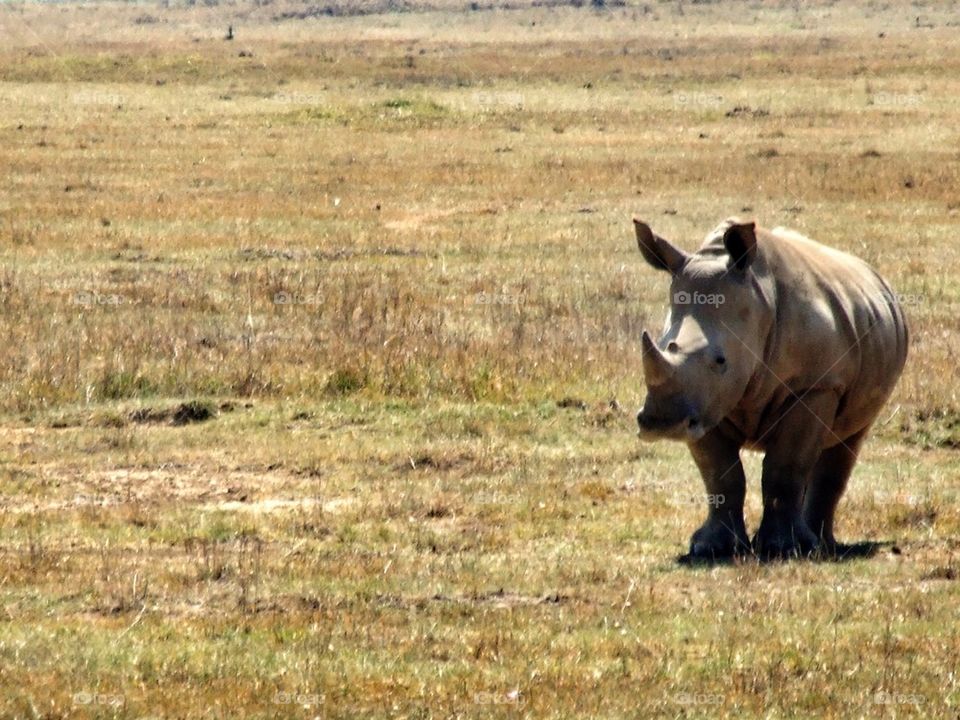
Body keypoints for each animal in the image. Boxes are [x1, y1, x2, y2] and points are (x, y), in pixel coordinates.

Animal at [633, 217, 908, 559]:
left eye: (721, 361)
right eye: (662, 346)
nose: (662, 424)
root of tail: (875, 276)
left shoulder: (813, 386)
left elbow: (785, 466)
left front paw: (784, 549)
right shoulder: (706, 403)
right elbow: (720, 475)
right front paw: (712, 548)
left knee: (847, 440)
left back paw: (821, 546)